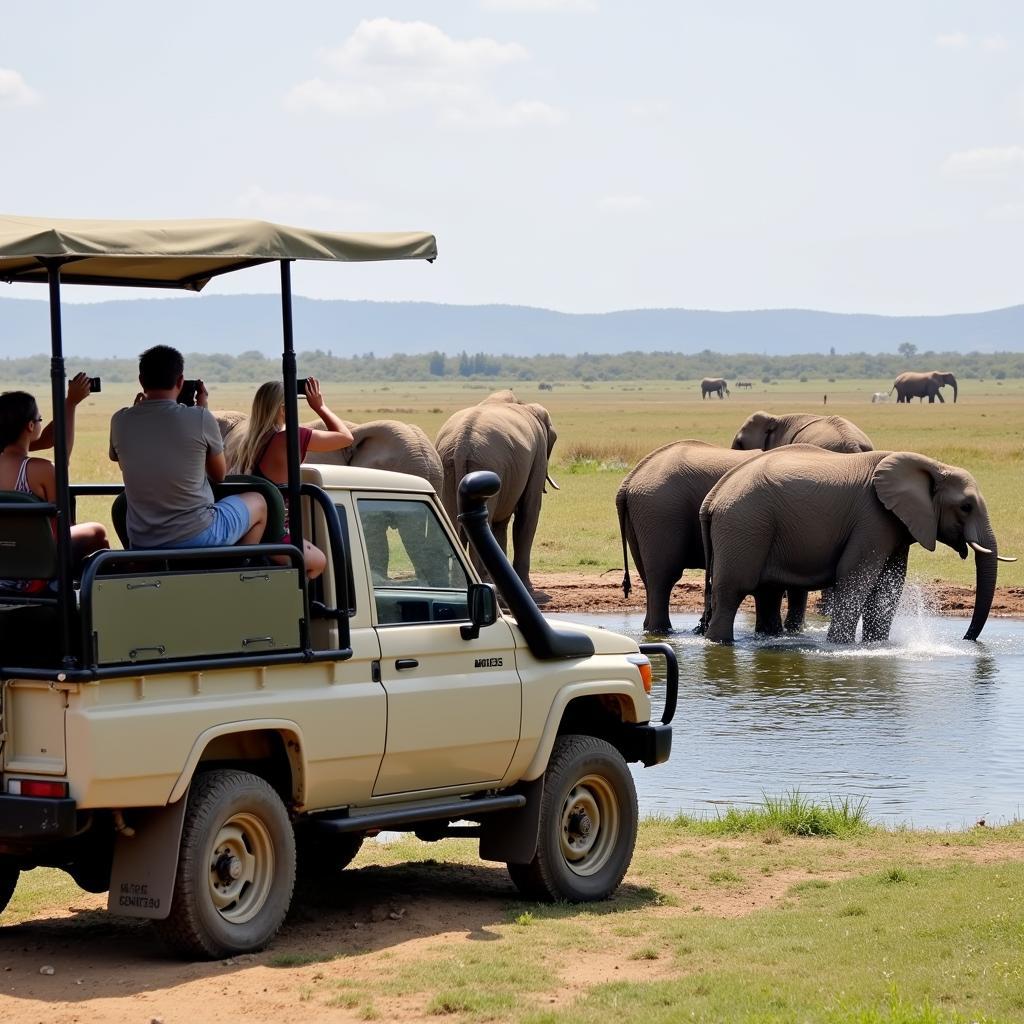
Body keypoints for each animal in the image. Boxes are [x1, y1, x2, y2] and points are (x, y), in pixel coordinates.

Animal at [434, 393, 557, 598]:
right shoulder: (538, 454)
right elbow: (528, 512)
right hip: (487, 465)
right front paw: (527, 590)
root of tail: (461, 445)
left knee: (451, 521)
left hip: (448, 465)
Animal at [614, 444, 806, 634]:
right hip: (660, 512)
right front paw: (793, 630)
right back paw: (662, 631)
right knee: (663, 577)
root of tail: (628, 482)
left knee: (647, 576)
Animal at [700, 444, 1011, 643]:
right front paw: (840, 646)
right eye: (966, 507)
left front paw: (877, 646)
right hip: (744, 525)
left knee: (766, 593)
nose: (967, 639)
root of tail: (713, 496)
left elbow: (889, 581)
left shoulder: (896, 522)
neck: (932, 464)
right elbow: (857, 575)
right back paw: (721, 644)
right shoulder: (872, 518)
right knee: (733, 591)